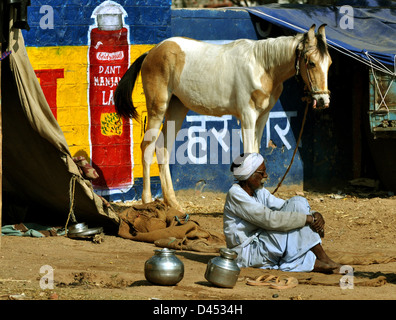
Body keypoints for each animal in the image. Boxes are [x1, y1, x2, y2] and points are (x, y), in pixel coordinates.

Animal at [113, 23, 332, 211]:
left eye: (329, 63)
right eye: (311, 63)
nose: (323, 100)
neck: (262, 66)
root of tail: (152, 52)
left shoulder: (262, 117)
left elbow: (257, 153)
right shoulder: (247, 115)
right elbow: (250, 152)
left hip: (177, 110)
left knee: (162, 148)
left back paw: (173, 204)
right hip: (158, 108)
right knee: (148, 146)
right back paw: (148, 201)